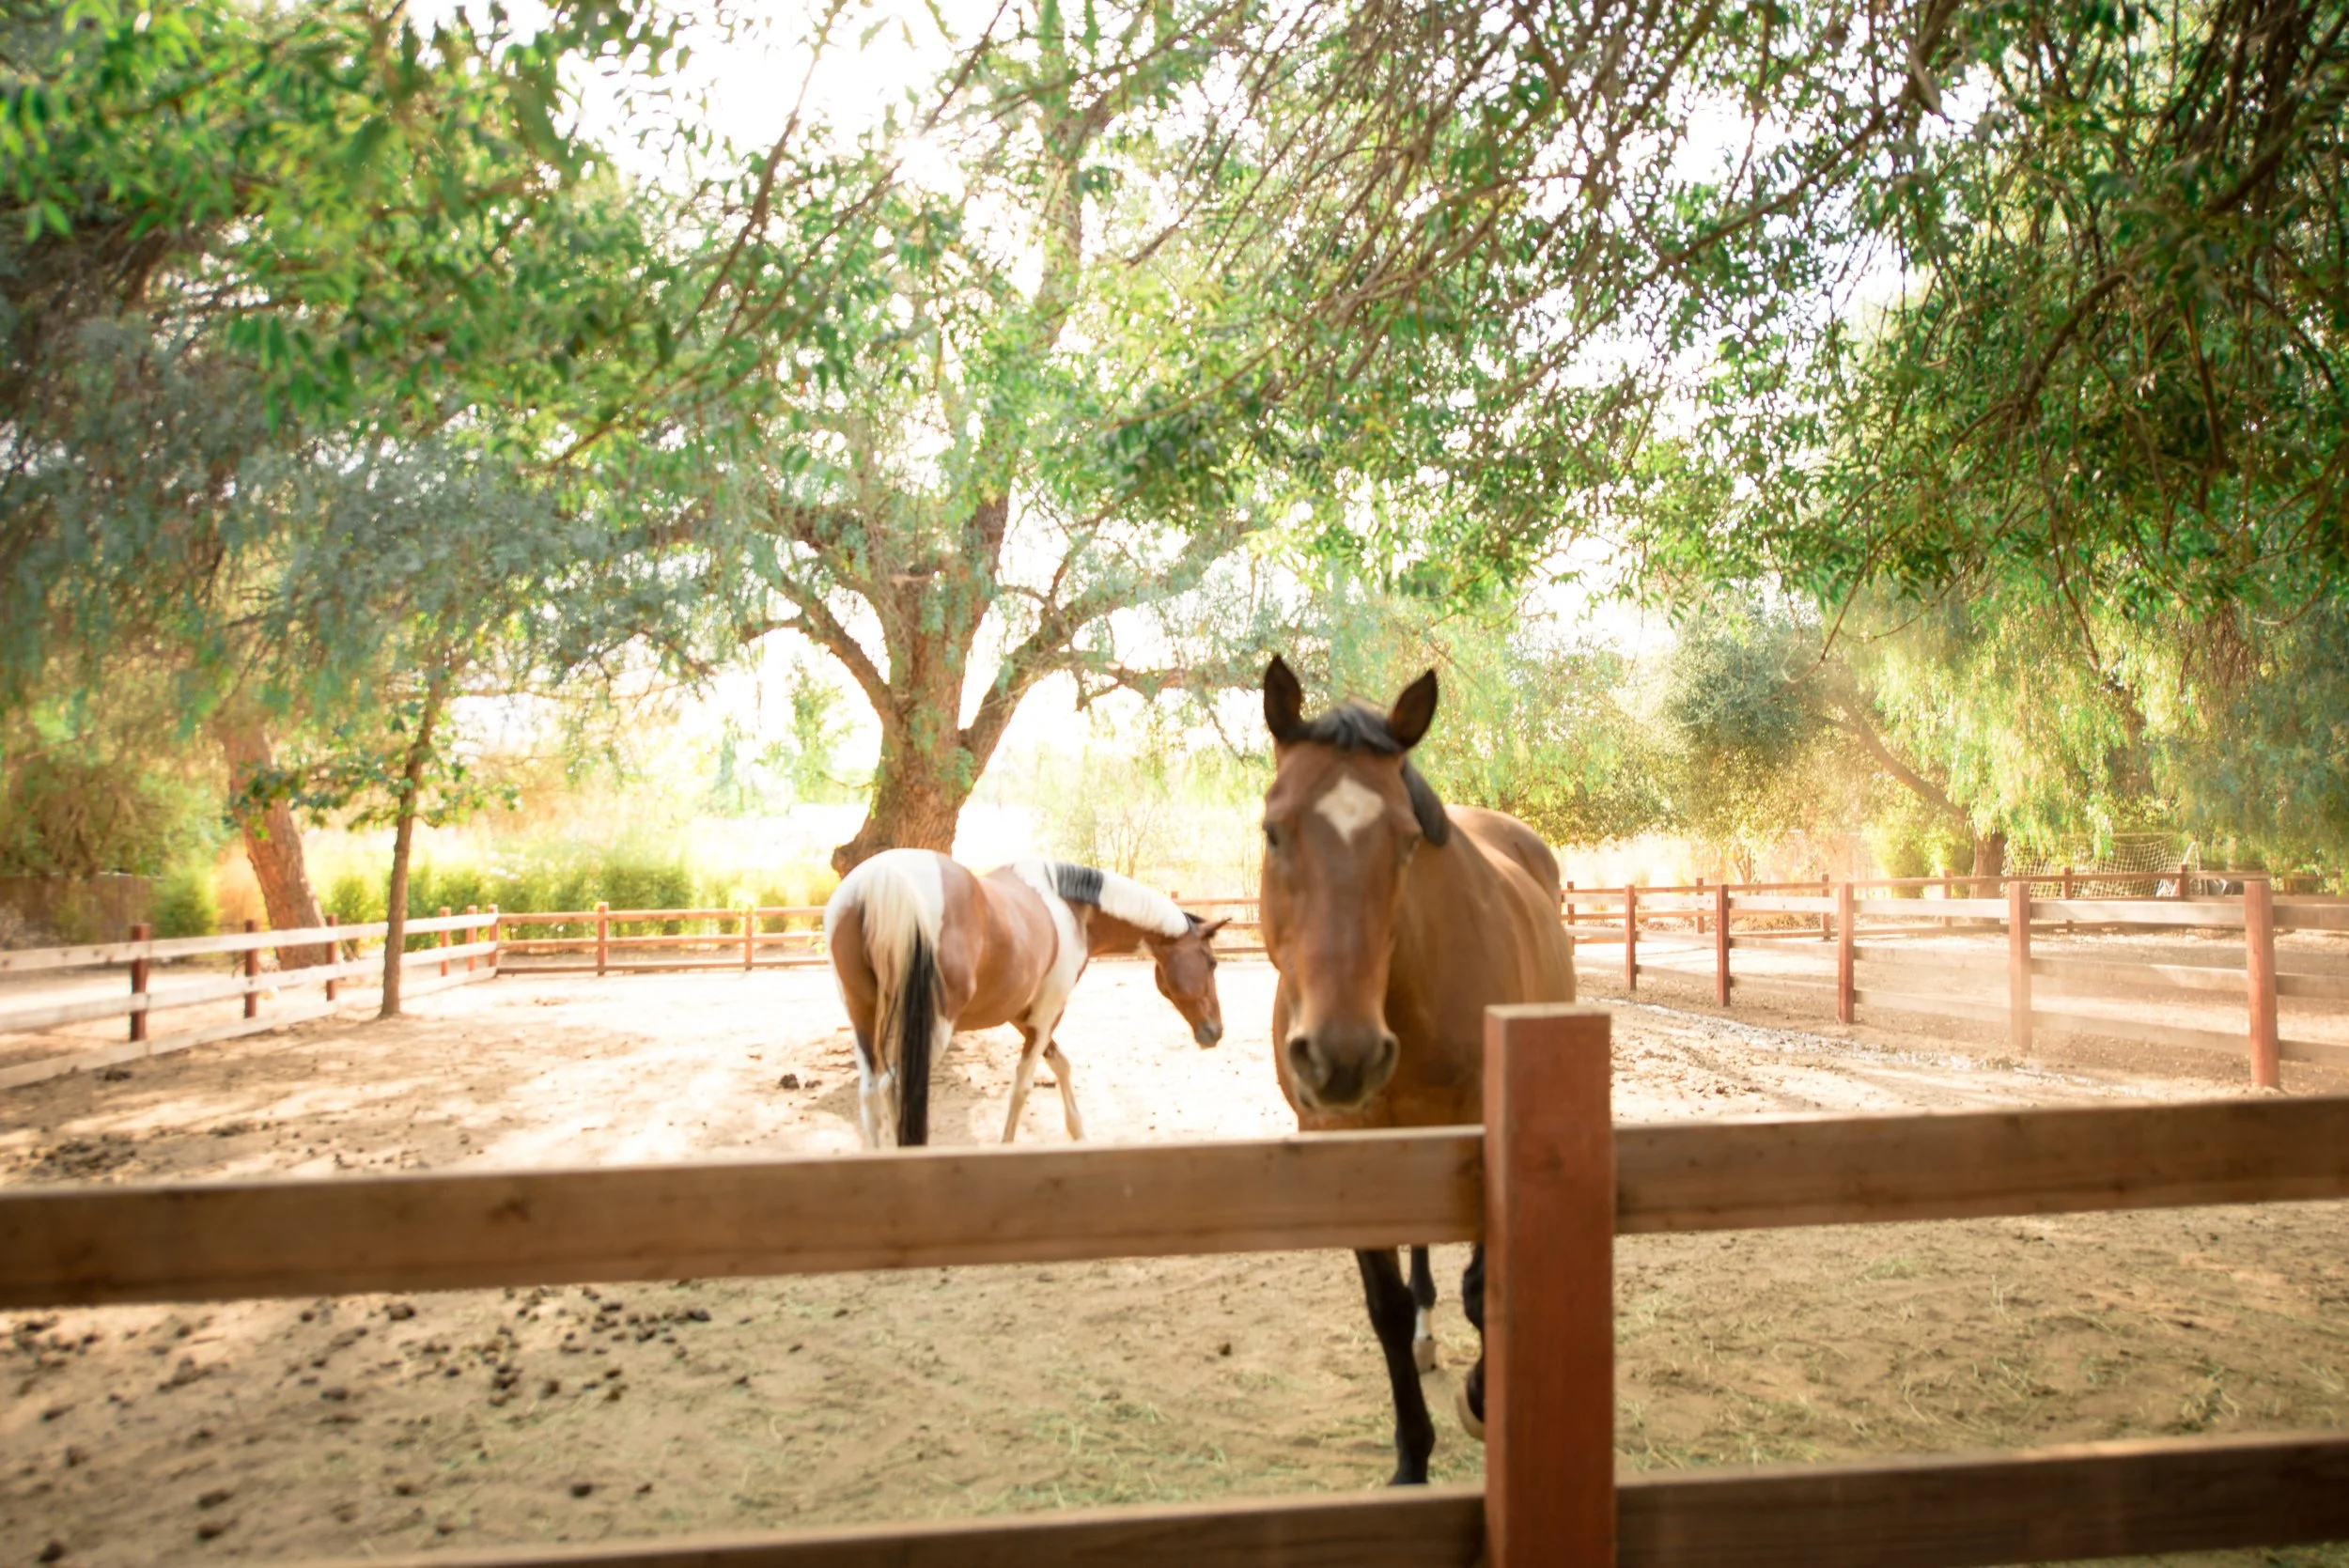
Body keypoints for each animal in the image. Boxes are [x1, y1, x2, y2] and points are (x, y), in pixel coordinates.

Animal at [823, 850, 1228, 1147]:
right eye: (1212, 962)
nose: (1215, 1032)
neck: (1071, 909)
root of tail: (880, 881)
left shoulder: (1023, 1016)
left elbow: (1060, 1064)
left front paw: (1079, 1133)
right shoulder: (1048, 1014)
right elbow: (1023, 1085)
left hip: (864, 1019)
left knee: (870, 1093)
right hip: (930, 1027)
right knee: (894, 1088)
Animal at [1257, 655, 1575, 1485]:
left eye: (1405, 840)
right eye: (1272, 831)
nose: (1342, 1053)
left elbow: (1484, 1287)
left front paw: (1484, 1401)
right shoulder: (1346, 1145)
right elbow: (1388, 1308)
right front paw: (1411, 1456)